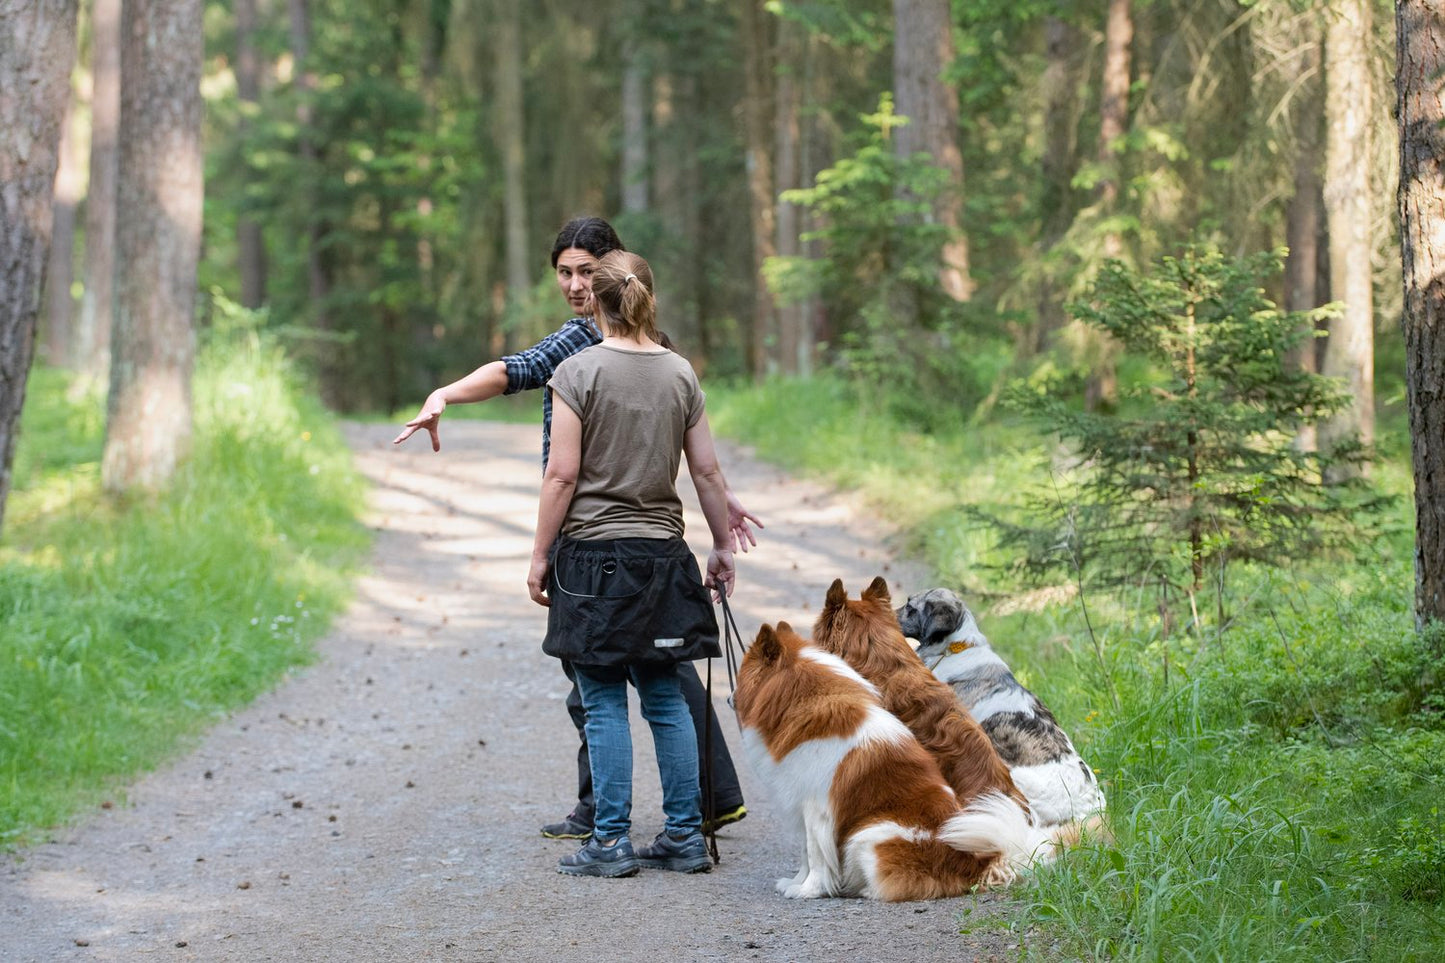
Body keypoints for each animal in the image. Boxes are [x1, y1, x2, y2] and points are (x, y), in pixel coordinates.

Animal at [734, 618, 1051, 896]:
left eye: (739, 677)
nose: (729, 698)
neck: (800, 696)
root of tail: (976, 864)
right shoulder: (799, 802)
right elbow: (804, 852)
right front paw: (796, 882)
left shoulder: (817, 808)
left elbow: (815, 854)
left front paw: (808, 890)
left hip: (868, 834)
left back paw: (865, 890)